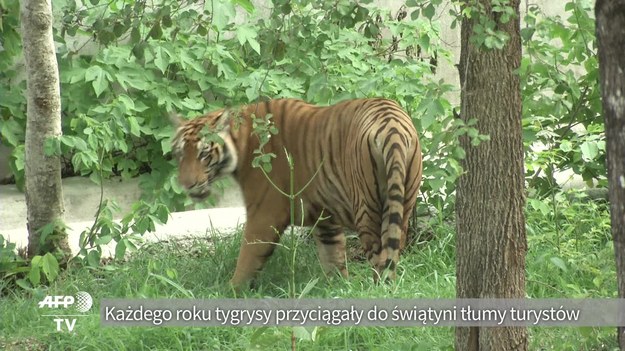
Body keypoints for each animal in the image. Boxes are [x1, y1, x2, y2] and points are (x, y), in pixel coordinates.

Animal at [171, 97, 424, 288]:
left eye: (204, 154)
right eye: (181, 154)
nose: (187, 185)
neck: (240, 141)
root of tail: (392, 124)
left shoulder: (263, 214)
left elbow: (247, 258)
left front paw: (231, 291)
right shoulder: (326, 217)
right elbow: (332, 256)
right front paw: (338, 288)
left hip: (367, 209)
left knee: (380, 260)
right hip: (403, 206)